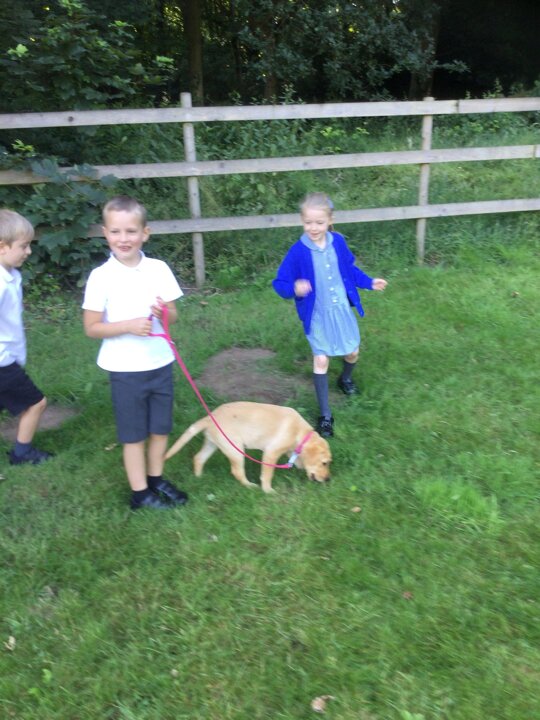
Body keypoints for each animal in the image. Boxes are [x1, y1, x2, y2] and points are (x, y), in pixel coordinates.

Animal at [165, 401, 332, 493]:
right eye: (324, 463)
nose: (328, 479)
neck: (300, 433)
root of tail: (209, 418)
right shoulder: (271, 453)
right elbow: (267, 475)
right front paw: (268, 490)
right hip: (235, 448)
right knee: (237, 472)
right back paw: (250, 486)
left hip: (213, 443)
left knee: (198, 458)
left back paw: (199, 477)